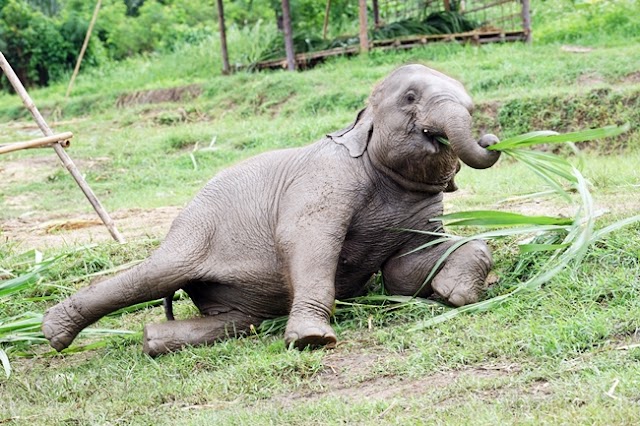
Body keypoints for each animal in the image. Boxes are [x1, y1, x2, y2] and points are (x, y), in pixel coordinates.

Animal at [42, 64, 501, 356]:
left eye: (471, 107)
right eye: (409, 97)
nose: (492, 138)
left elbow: (404, 272)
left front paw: (455, 294)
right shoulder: (326, 176)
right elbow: (307, 240)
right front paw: (313, 341)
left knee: (235, 321)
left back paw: (150, 341)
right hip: (192, 234)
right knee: (155, 275)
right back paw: (54, 333)